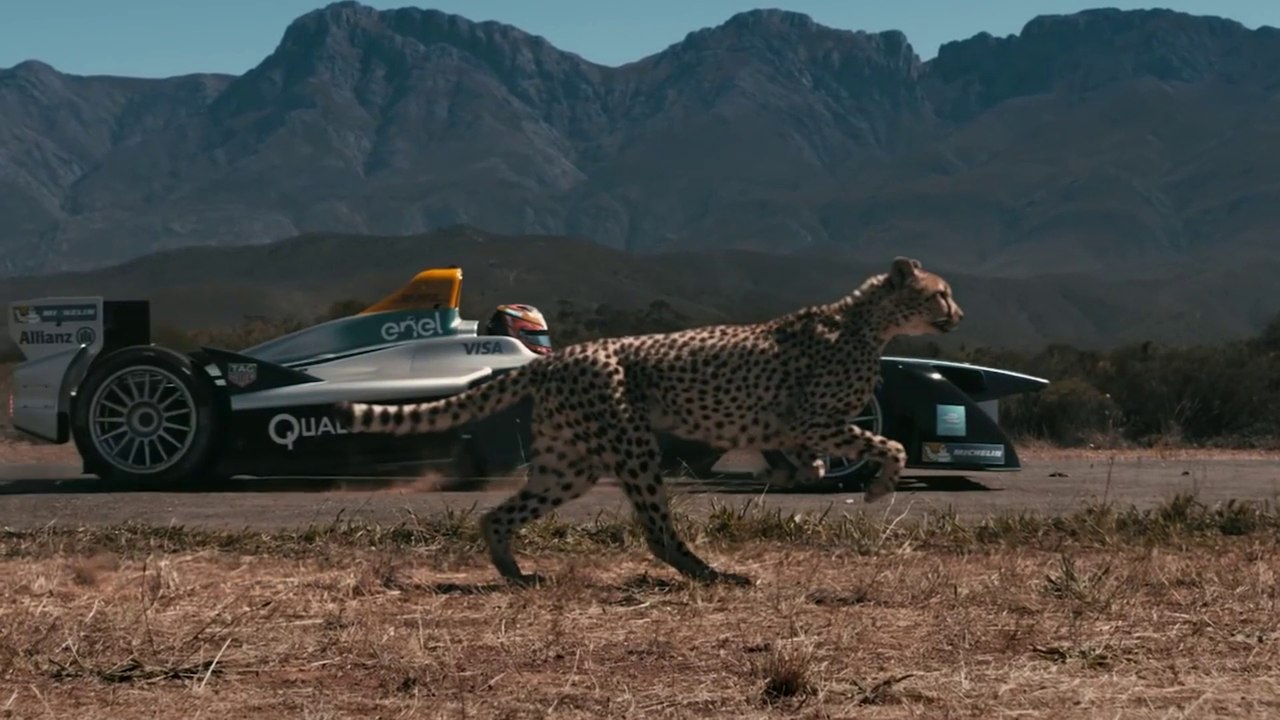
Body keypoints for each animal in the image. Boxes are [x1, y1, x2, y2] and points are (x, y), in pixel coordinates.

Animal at [334, 256, 964, 587]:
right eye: (940, 293)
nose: (957, 314)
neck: (869, 323)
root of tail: (563, 355)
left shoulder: (794, 426)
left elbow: (816, 454)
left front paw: (800, 474)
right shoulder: (814, 418)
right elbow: (889, 445)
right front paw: (878, 489)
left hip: (568, 464)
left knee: (499, 513)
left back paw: (516, 572)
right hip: (631, 448)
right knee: (658, 530)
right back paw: (712, 574)